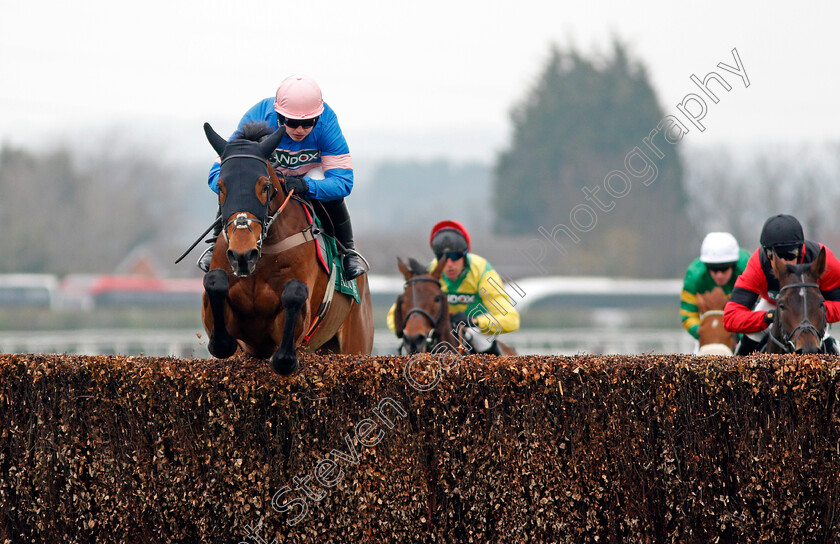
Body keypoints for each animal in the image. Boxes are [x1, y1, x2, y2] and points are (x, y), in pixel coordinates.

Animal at [200, 122, 370, 374]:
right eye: (220, 187)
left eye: (264, 186)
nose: (243, 255)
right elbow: (215, 285)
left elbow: (294, 294)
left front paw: (285, 358)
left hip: (356, 341)